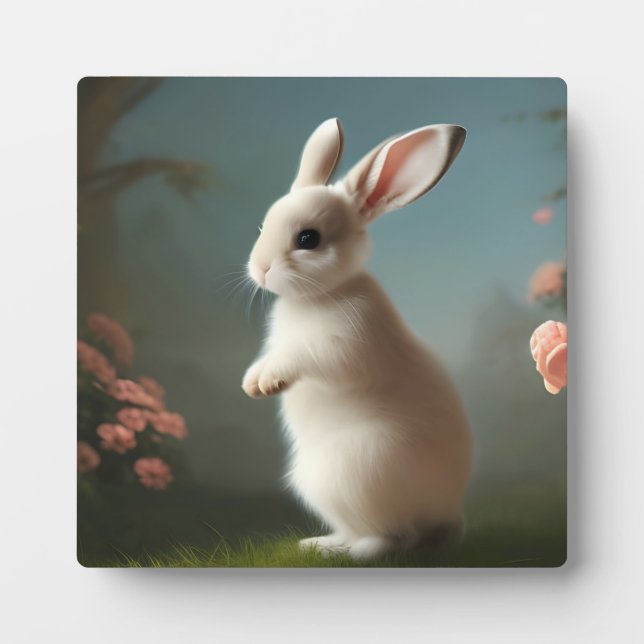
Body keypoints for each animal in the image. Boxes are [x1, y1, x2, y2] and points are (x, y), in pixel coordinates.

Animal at [242, 118, 472, 561]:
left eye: (308, 239)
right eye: (262, 226)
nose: (259, 268)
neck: (321, 294)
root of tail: (445, 515)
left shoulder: (348, 342)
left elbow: (307, 356)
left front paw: (268, 382)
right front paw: (252, 381)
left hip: (357, 471)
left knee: (397, 537)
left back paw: (353, 554)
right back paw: (318, 544)